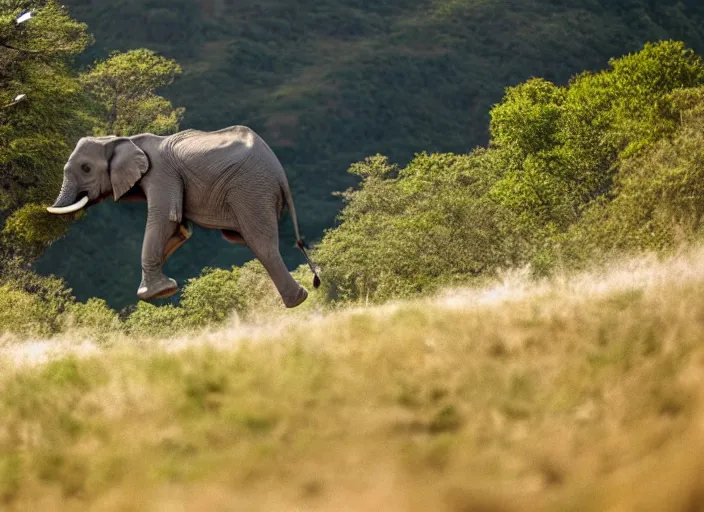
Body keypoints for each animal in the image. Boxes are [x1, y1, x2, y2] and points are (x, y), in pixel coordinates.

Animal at [48, 126, 322, 308]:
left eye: (86, 168)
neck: (124, 140)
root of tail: (280, 172)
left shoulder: (161, 174)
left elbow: (165, 218)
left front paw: (155, 291)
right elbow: (179, 229)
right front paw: (164, 288)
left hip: (251, 187)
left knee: (260, 243)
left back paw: (297, 300)